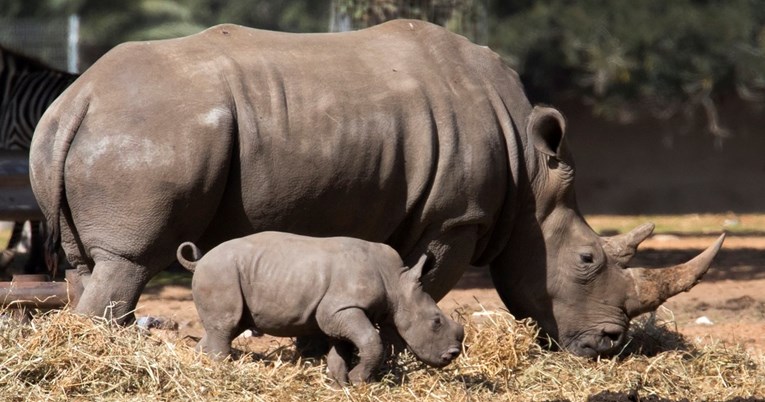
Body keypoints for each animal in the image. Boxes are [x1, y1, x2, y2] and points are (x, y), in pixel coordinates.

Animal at [176, 232, 462, 386]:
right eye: (436, 322)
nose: (452, 355)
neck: (397, 283)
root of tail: (200, 261)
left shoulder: (340, 313)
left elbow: (342, 347)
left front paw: (339, 383)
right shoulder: (341, 307)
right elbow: (372, 341)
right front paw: (359, 380)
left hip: (227, 273)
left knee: (227, 326)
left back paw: (199, 365)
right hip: (221, 272)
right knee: (226, 326)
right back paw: (221, 371)